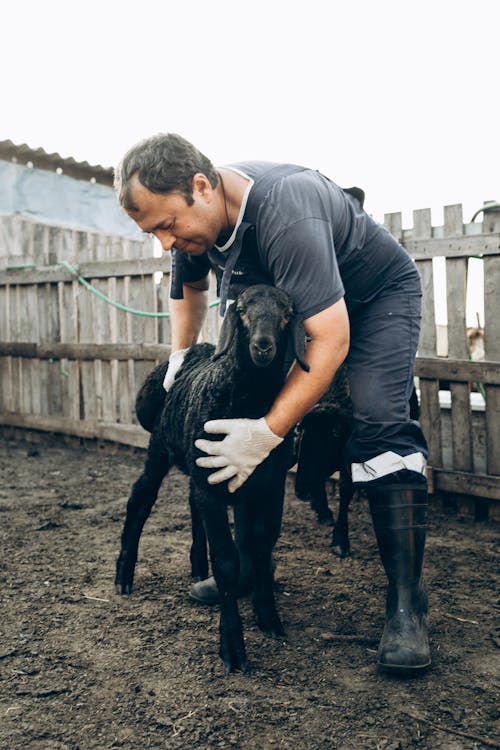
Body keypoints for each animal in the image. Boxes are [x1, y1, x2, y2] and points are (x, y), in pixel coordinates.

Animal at [115, 286, 308, 676]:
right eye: (244, 311)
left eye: (286, 314)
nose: (263, 345)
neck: (247, 400)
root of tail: (198, 351)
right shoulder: (211, 486)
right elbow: (227, 563)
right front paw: (232, 646)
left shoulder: (270, 485)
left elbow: (261, 545)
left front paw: (268, 617)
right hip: (161, 449)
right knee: (140, 498)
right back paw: (124, 573)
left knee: (192, 506)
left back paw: (196, 566)